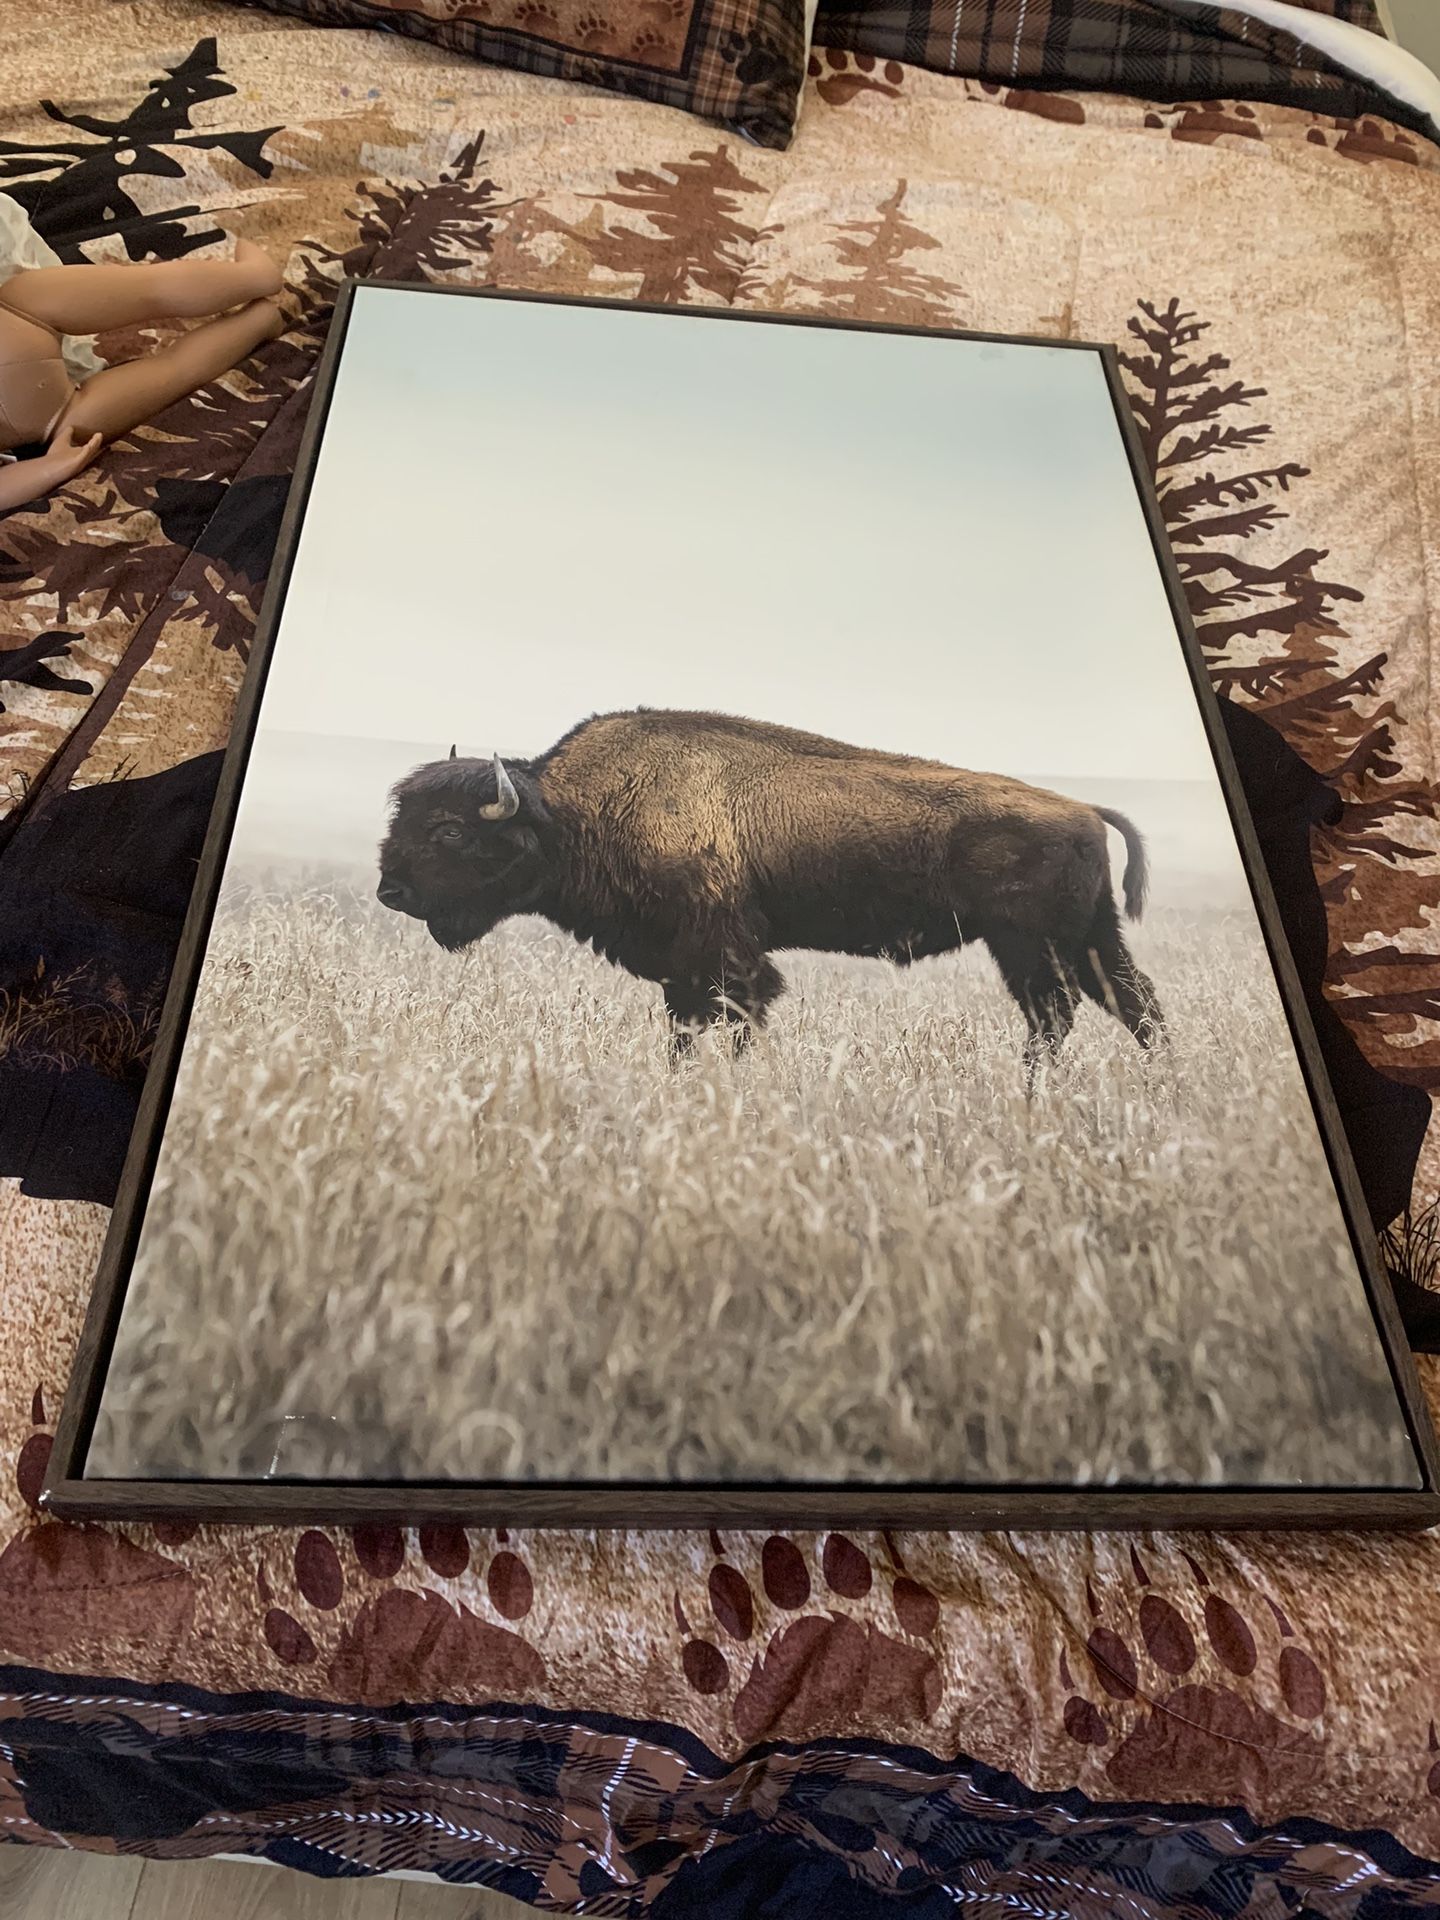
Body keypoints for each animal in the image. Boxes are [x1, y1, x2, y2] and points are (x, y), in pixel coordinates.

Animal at [377, 708, 1163, 1070]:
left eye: (449, 832)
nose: (390, 891)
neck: (570, 813)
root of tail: (1085, 809)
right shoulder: (682, 968)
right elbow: (686, 1027)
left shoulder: (726, 958)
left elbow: (735, 1019)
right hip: (1087, 938)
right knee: (1132, 1005)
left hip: (1031, 945)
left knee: (1057, 1015)